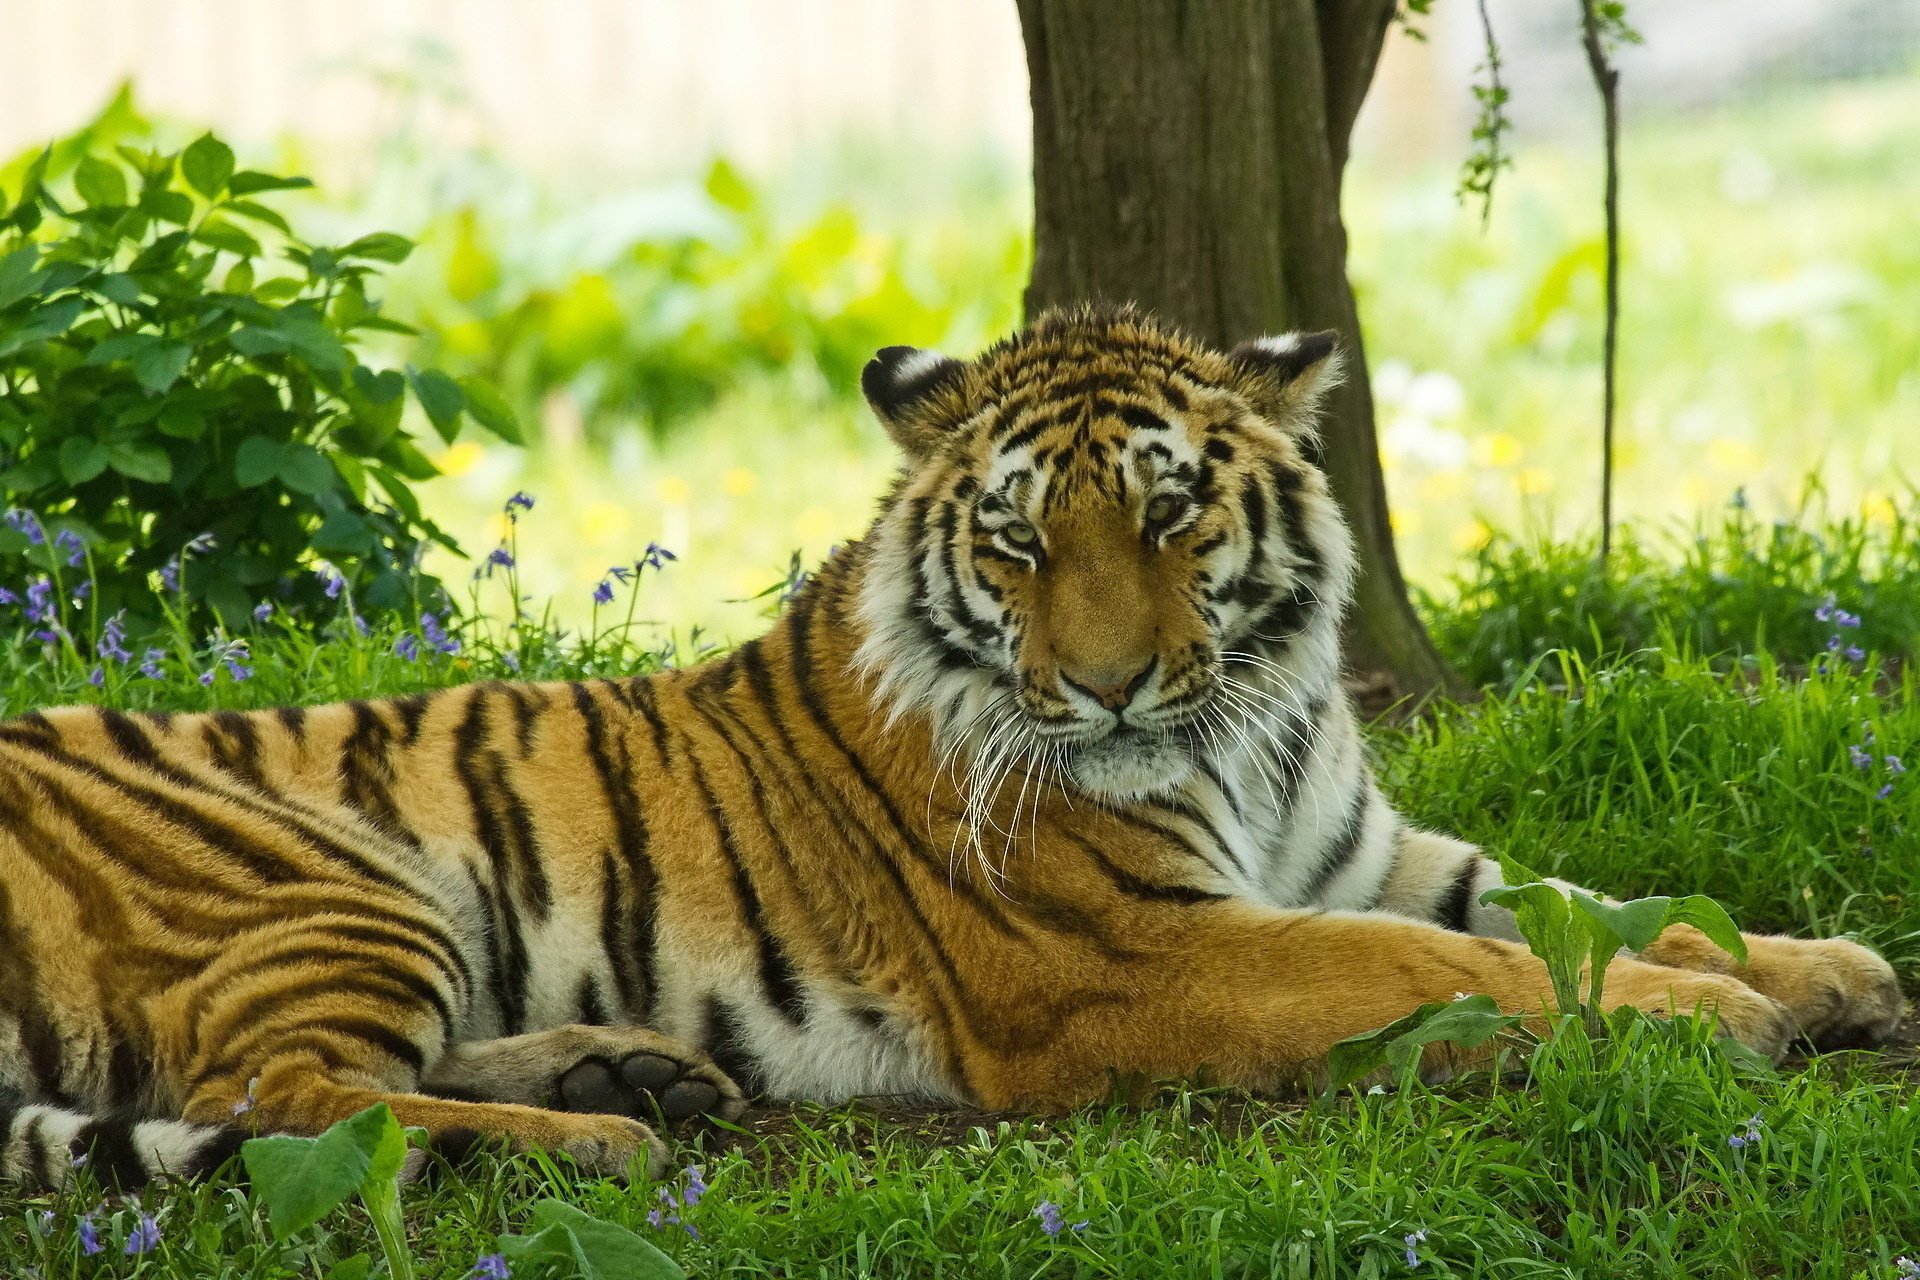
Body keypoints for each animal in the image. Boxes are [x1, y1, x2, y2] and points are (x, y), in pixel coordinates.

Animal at [0, 305, 1896, 1189]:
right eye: (1017, 542)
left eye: (1170, 513)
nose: (1113, 689)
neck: (1254, 724)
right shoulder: (1144, 955)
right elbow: (1482, 972)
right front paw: (1716, 1023)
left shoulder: (1374, 856)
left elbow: (1591, 902)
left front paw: (1828, 971)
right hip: (329, 882)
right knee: (275, 1101)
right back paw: (602, 1143)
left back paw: (629, 1076)